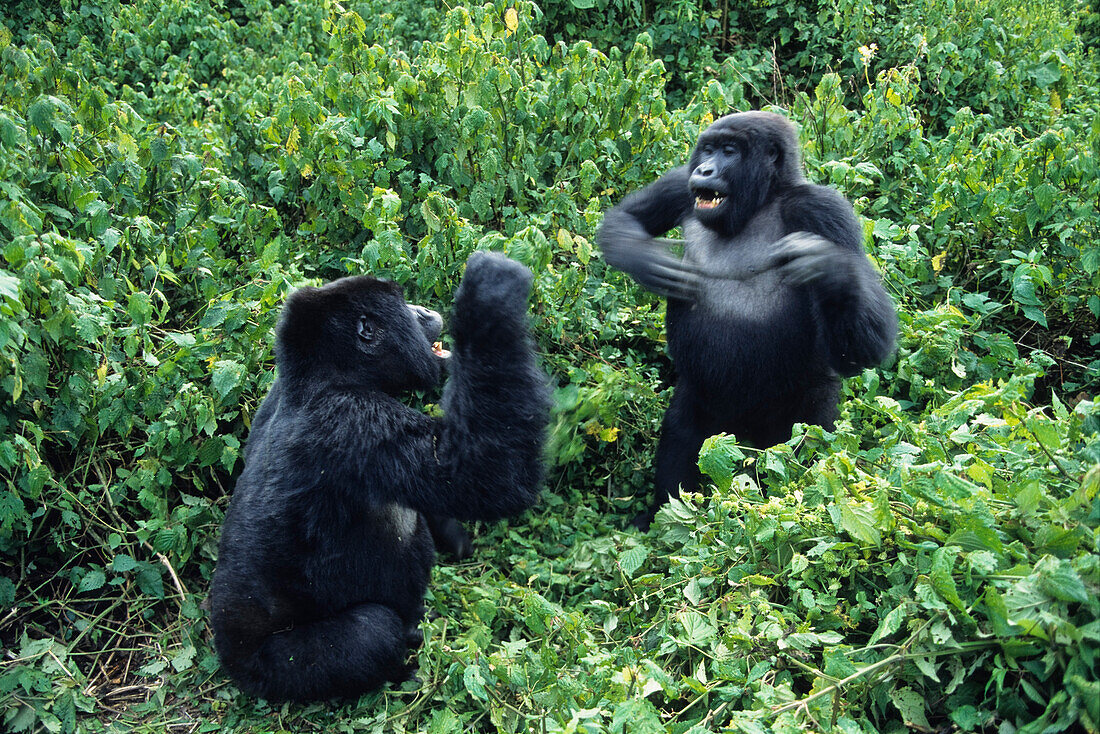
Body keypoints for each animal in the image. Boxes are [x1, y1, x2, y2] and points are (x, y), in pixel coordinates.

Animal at [207, 250, 547, 699]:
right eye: (405, 306)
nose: (425, 310)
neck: (324, 375)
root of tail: (229, 655)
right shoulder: (356, 421)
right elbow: (486, 476)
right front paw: (492, 292)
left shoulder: (273, 394)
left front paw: (452, 534)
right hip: (269, 670)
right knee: (374, 630)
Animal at [598, 110, 897, 528]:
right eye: (708, 149)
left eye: (729, 151)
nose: (705, 169)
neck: (763, 200)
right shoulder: (679, 183)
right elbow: (623, 218)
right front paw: (643, 257)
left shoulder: (823, 209)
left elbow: (863, 349)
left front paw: (831, 266)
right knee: (684, 432)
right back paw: (664, 514)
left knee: (806, 447)